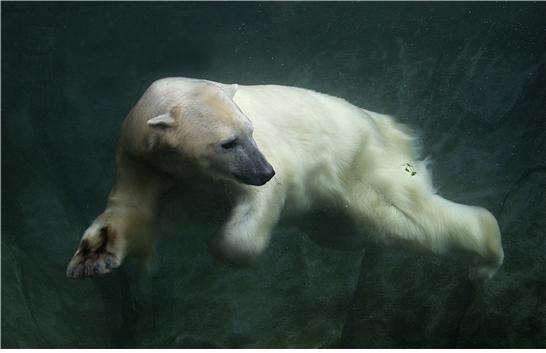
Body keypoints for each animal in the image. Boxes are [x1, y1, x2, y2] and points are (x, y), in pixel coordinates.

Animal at [66, 77, 504, 280]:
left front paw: (221, 245)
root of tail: (388, 125)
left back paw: (486, 257)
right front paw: (92, 259)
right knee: (358, 229)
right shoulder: (143, 160)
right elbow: (129, 210)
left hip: (360, 163)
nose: (265, 171)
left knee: (406, 218)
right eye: (228, 141)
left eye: (250, 130)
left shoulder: (259, 161)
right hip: (340, 207)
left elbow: (257, 207)